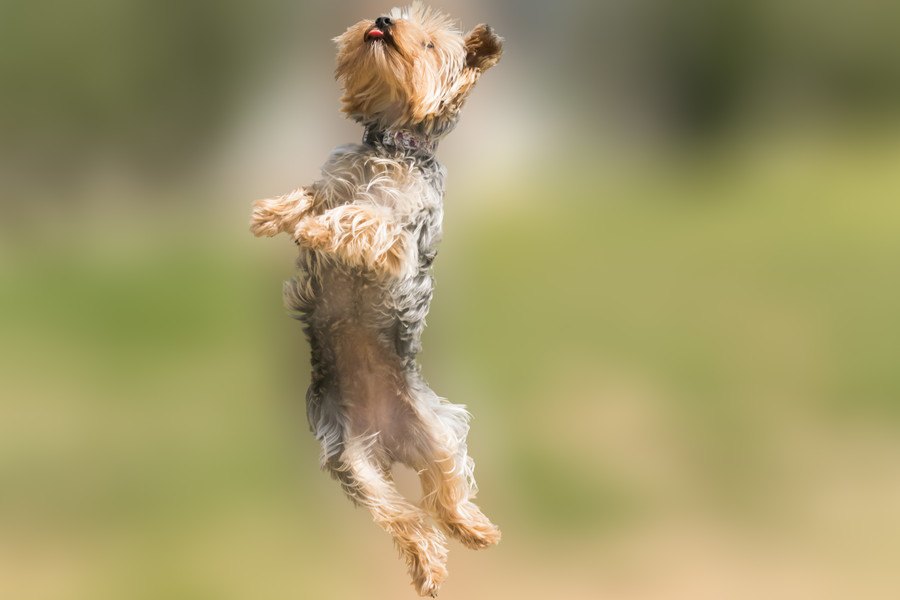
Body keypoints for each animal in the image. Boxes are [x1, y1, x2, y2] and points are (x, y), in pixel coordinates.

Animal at [250, 3, 502, 596]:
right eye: (398, 15)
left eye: (430, 44)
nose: (384, 20)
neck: (392, 143)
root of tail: (390, 439)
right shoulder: (334, 178)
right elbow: (314, 193)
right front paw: (274, 213)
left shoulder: (399, 238)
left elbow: (362, 216)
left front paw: (318, 230)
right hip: (351, 459)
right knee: (402, 514)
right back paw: (428, 563)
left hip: (441, 430)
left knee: (447, 489)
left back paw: (473, 529)